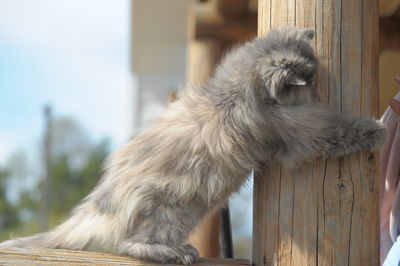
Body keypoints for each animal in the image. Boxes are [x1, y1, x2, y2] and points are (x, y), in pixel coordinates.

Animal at [0, 27, 388, 264]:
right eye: (307, 78)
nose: (314, 87)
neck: (232, 93)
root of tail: (100, 207)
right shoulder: (302, 133)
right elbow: (345, 128)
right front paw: (380, 130)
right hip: (171, 209)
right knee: (127, 245)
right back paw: (170, 252)